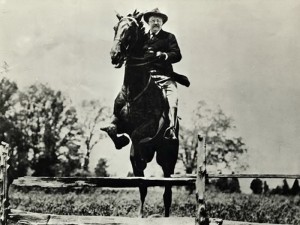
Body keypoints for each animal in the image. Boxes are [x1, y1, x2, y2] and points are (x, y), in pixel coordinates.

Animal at [102, 11, 179, 218]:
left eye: (130, 30)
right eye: (115, 28)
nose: (115, 55)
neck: (133, 91)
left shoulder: (149, 126)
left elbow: (138, 135)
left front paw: (140, 149)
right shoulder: (119, 121)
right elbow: (111, 129)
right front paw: (121, 141)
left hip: (167, 159)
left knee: (167, 191)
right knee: (142, 185)